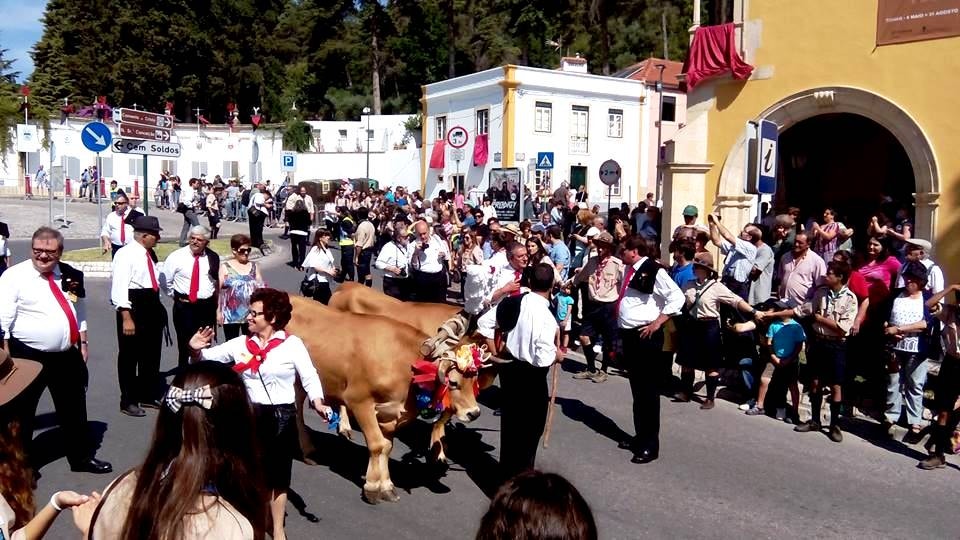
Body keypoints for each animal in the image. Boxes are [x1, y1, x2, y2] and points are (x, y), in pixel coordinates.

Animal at [284, 296, 480, 502]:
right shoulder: (359, 401)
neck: (403, 365)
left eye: (475, 380)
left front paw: (386, 485)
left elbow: (386, 447)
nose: (474, 413)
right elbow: (376, 444)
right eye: (453, 383)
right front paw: (371, 487)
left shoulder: (391, 414)